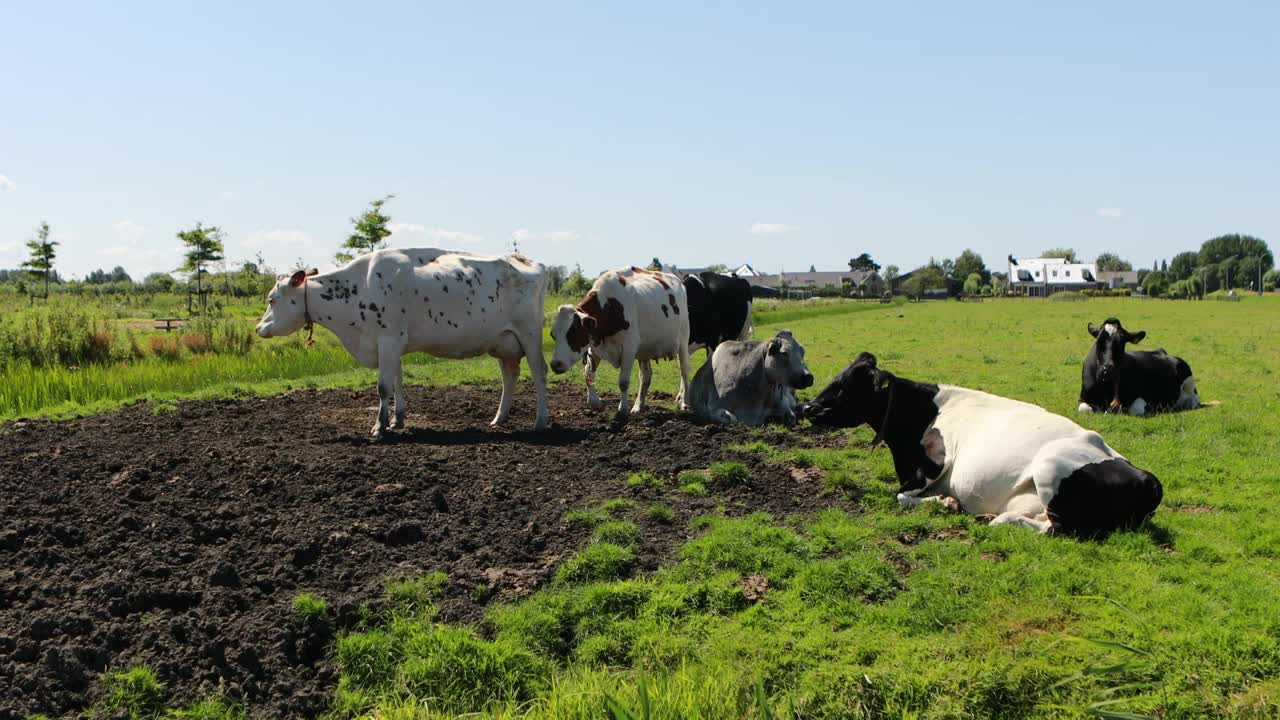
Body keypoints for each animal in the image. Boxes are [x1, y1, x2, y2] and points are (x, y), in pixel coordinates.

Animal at [547, 266, 691, 417]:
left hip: (683, 341)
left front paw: (623, 409)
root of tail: (677, 280)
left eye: (573, 333)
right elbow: (588, 375)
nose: (555, 364)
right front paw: (595, 402)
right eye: (553, 335)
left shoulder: (629, 347)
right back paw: (638, 406)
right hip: (645, 349)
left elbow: (623, 382)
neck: (610, 306)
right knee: (645, 376)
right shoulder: (594, 346)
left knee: (684, 371)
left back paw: (685, 402)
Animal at [686, 330, 814, 422]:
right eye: (784, 353)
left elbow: (790, 414)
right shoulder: (712, 407)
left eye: (802, 351)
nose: (808, 377)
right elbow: (731, 419)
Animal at [803, 351, 1167, 535]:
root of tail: (1147, 478)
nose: (808, 407)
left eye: (844, 385)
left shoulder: (931, 466)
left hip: (1049, 466)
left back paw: (996, 520)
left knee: (1056, 529)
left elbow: (902, 496)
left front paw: (946, 503)